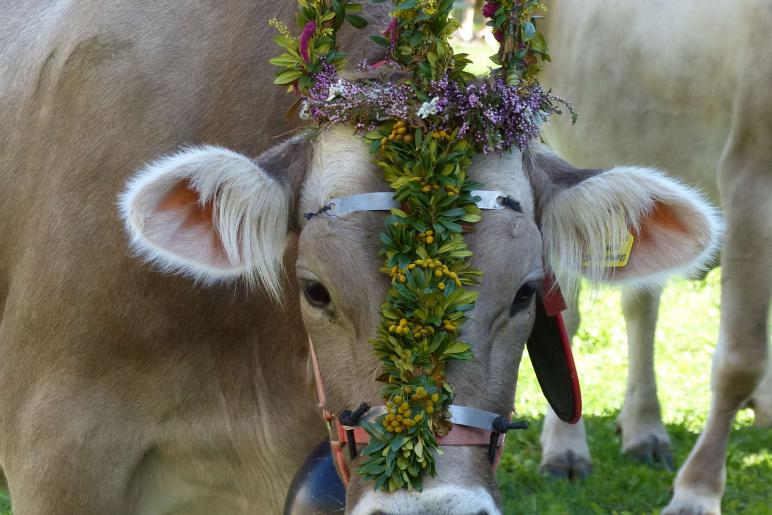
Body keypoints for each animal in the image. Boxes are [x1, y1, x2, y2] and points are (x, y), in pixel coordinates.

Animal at [536, 1, 772, 515]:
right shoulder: (752, 177)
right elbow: (740, 360)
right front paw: (698, 491)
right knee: (569, 314)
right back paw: (565, 448)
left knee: (641, 303)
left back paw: (644, 427)